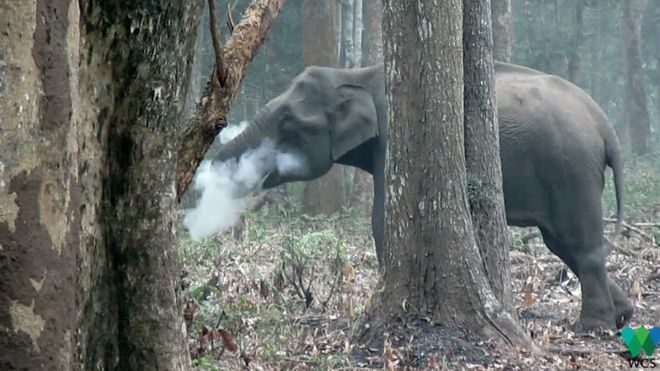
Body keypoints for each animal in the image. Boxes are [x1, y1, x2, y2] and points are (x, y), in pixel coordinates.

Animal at [214, 62, 632, 332]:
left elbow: (382, 219)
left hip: (571, 170)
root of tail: (605, 125)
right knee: (564, 244)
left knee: (579, 244)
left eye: (287, 120)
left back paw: (592, 328)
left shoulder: (393, 139)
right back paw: (623, 315)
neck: (355, 75)